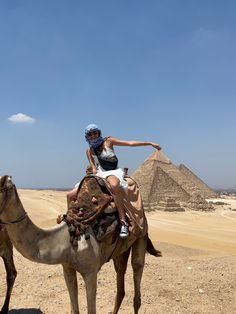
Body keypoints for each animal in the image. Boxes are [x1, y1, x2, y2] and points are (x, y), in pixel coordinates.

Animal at [0, 175, 160, 312]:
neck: (67, 239)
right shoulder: (67, 268)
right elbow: (74, 308)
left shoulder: (90, 272)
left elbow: (91, 310)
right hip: (120, 251)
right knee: (120, 284)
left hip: (141, 235)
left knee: (137, 276)